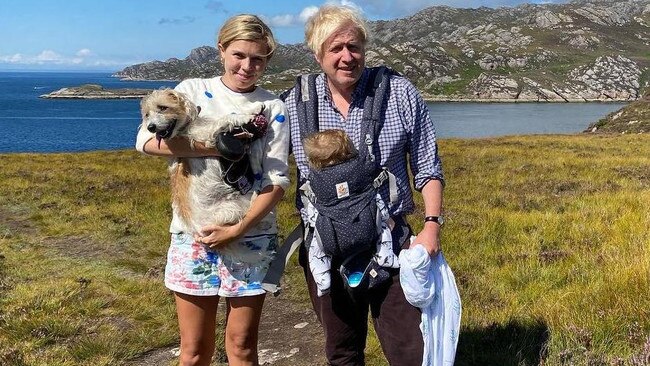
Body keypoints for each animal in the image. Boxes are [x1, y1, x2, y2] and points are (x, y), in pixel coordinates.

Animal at [140, 88, 264, 234]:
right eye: (147, 114)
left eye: (163, 107)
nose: (150, 127)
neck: (185, 128)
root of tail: (198, 230)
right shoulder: (205, 135)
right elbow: (224, 118)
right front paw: (244, 116)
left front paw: (253, 108)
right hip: (231, 208)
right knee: (247, 209)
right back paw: (255, 193)